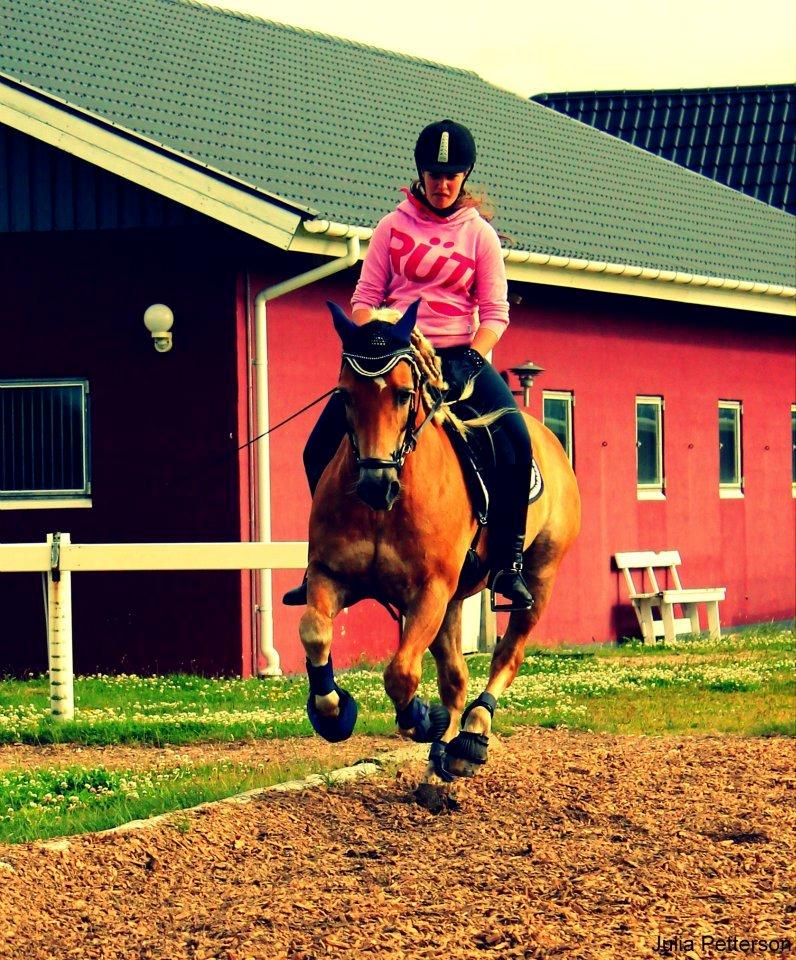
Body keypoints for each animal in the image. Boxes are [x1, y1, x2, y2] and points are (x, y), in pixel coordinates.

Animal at [296, 304, 580, 784]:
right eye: (344, 395)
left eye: (403, 394)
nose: (374, 485)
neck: (389, 505)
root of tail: (550, 439)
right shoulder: (329, 575)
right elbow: (315, 632)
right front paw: (333, 713)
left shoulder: (429, 590)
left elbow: (401, 673)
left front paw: (423, 718)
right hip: (453, 603)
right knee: (456, 676)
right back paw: (441, 757)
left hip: (538, 579)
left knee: (507, 655)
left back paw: (472, 735)